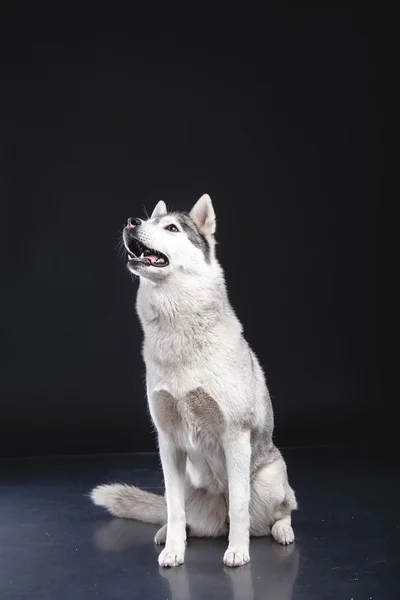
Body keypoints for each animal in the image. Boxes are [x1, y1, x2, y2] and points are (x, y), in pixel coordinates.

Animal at [90, 196, 296, 568]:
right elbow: (173, 509)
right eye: (150, 221)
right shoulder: (168, 443)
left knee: (280, 509)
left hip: (270, 481)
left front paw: (238, 551)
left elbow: (240, 508)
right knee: (185, 516)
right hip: (191, 488)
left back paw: (282, 530)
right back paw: (166, 534)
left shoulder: (235, 436)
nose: (131, 221)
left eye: (171, 227)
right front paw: (174, 549)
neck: (179, 334)